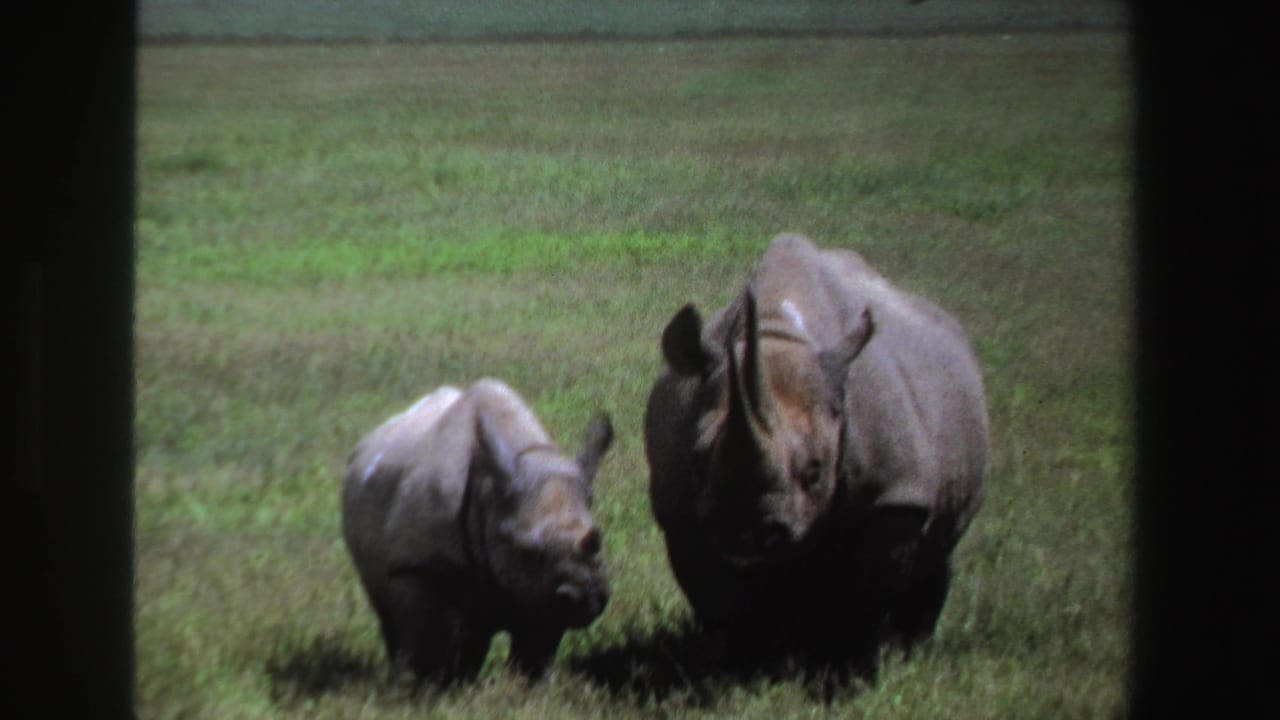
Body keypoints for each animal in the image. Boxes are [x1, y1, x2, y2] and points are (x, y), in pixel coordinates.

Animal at [341, 379, 613, 684]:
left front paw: (532, 687)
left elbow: (537, 642)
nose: (584, 597)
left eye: (598, 538)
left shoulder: (542, 591)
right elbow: (430, 639)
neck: (490, 490)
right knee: (391, 615)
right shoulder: (419, 563)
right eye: (526, 551)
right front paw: (430, 687)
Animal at [645, 233, 989, 670]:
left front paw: (848, 669)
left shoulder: (894, 496)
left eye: (815, 471)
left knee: (939, 552)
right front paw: (746, 666)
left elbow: (865, 595)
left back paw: (911, 649)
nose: (745, 533)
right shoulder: (680, 512)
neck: (777, 337)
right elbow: (719, 601)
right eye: (696, 461)